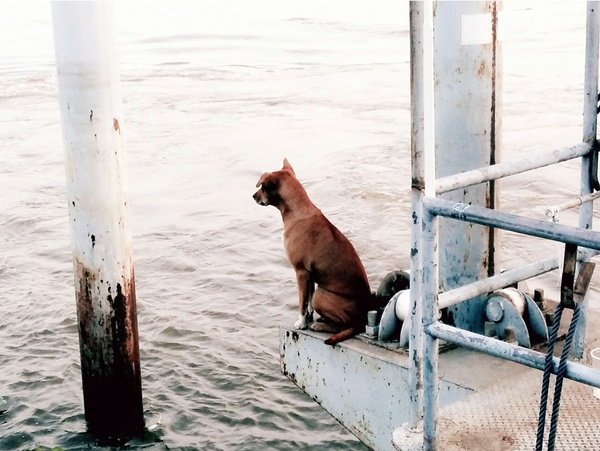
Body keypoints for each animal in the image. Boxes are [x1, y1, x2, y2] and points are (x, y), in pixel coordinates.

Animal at [253, 159, 370, 346]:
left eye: (262, 187)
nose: (253, 196)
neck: (296, 210)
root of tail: (362, 322)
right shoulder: (310, 275)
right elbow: (307, 303)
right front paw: (307, 319)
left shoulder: (301, 272)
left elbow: (302, 302)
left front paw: (301, 323)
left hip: (321, 295)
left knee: (342, 326)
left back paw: (321, 326)